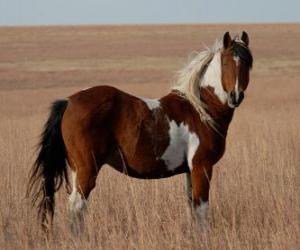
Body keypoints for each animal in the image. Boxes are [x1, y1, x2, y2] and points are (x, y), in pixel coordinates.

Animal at [27, 31, 253, 234]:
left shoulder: (191, 170)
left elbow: (192, 206)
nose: (236, 96)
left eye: (248, 63)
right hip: (87, 169)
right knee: (77, 206)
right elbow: (202, 209)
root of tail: (69, 101)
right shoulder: (202, 167)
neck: (200, 110)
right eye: (226, 63)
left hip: (76, 169)